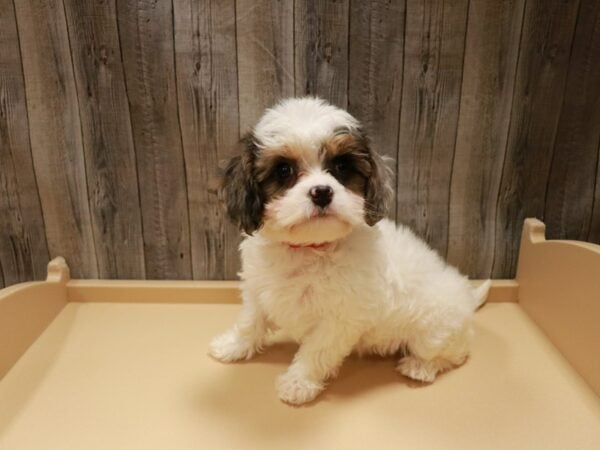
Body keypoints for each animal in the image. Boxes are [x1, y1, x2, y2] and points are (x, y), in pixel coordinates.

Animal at [209, 97, 490, 404]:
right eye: (284, 170)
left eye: (341, 166)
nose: (322, 191)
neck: (309, 248)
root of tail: (467, 297)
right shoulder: (258, 290)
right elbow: (250, 321)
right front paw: (232, 346)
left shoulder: (340, 319)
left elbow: (316, 351)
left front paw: (298, 383)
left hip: (435, 331)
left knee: (454, 354)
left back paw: (420, 367)